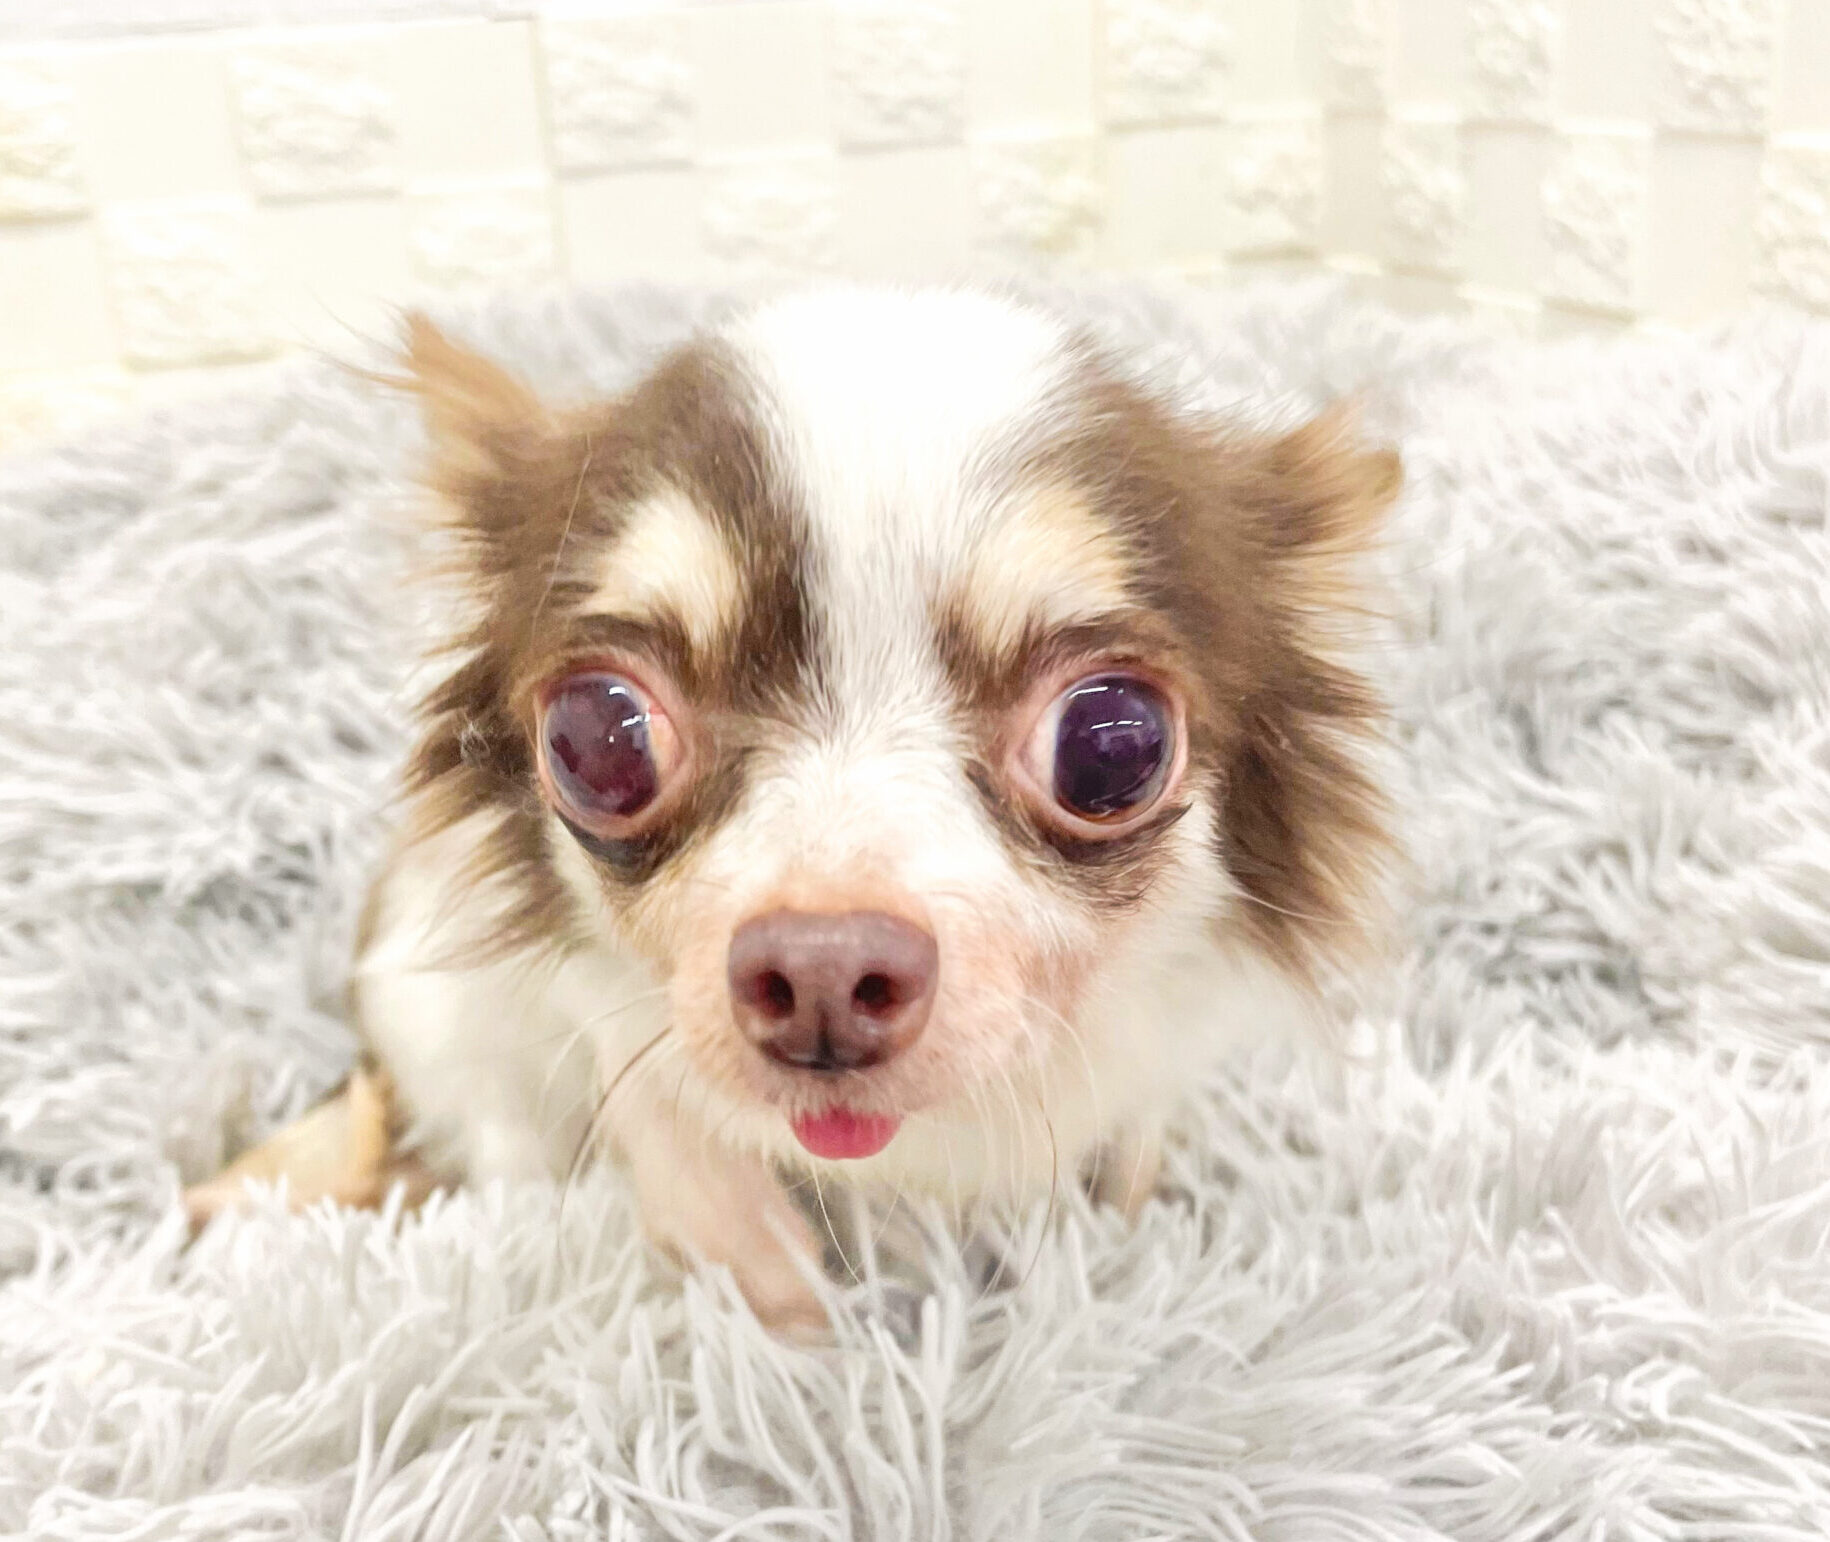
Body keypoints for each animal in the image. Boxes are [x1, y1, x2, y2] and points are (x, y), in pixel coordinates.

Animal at [186, 285, 1399, 1332]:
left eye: (1113, 749)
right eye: (597, 739)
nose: (824, 969)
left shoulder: (1142, 1067)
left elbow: (1119, 1170)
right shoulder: (629, 1056)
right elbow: (740, 1240)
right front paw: (807, 1372)